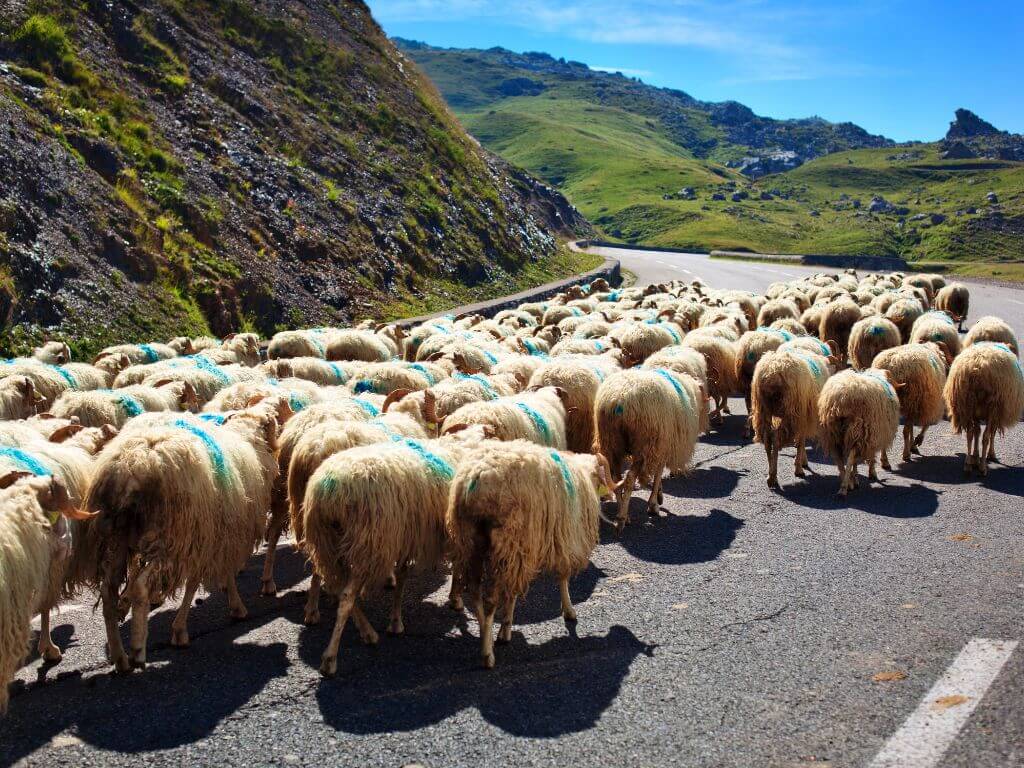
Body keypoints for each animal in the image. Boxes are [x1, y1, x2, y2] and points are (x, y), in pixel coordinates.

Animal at [83, 399, 288, 671]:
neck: (249, 440)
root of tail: (133, 465)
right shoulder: (212, 538)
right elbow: (200, 582)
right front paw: (188, 627)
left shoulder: (212, 539)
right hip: (169, 538)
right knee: (140, 586)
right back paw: (137, 649)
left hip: (117, 538)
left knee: (108, 591)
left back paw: (120, 657)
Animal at [446, 442, 606, 671]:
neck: (581, 477)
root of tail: (474, 479)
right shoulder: (561, 540)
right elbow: (563, 577)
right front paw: (568, 610)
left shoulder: (523, 550)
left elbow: (512, 593)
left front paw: (505, 629)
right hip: (506, 540)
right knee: (490, 600)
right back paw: (487, 655)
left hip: (470, 540)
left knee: (476, 594)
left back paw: (485, 635)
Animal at [593, 368, 704, 528]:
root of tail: (617, 399)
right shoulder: (661, 446)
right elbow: (658, 474)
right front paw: (654, 504)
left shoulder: (660, 448)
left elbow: (658, 472)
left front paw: (659, 495)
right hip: (643, 445)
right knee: (629, 478)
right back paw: (622, 518)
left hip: (611, 442)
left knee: (616, 478)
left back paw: (622, 512)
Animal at [815, 368, 897, 499]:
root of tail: (841, 400)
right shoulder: (872, 435)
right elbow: (870, 456)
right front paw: (871, 473)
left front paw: (856, 477)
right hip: (857, 429)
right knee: (850, 458)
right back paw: (845, 488)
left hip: (833, 433)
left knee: (839, 459)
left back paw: (847, 482)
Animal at [942, 342, 1024, 475]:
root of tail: (978, 367)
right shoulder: (996, 413)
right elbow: (990, 434)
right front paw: (990, 455)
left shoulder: (977, 414)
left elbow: (976, 432)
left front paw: (975, 457)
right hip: (992, 405)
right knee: (986, 436)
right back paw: (983, 467)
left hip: (968, 404)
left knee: (970, 433)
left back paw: (968, 465)